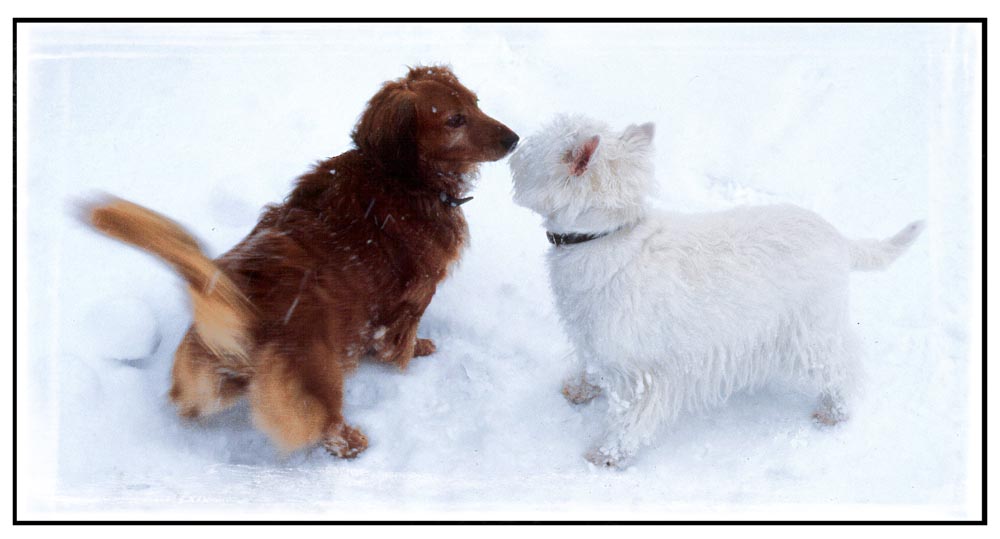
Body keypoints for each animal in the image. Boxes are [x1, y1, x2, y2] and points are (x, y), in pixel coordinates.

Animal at [87, 66, 520, 460]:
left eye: (476, 103)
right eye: (454, 120)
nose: (514, 139)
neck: (398, 176)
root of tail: (240, 303)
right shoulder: (415, 297)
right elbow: (399, 340)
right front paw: (416, 350)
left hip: (202, 384)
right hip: (320, 377)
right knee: (326, 425)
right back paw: (353, 442)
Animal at [512, 114, 924, 468]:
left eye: (535, 148)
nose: (515, 146)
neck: (603, 236)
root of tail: (839, 239)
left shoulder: (642, 372)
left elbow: (630, 419)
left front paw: (606, 456)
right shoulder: (598, 340)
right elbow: (592, 367)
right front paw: (580, 390)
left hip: (811, 330)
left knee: (841, 369)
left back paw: (833, 412)